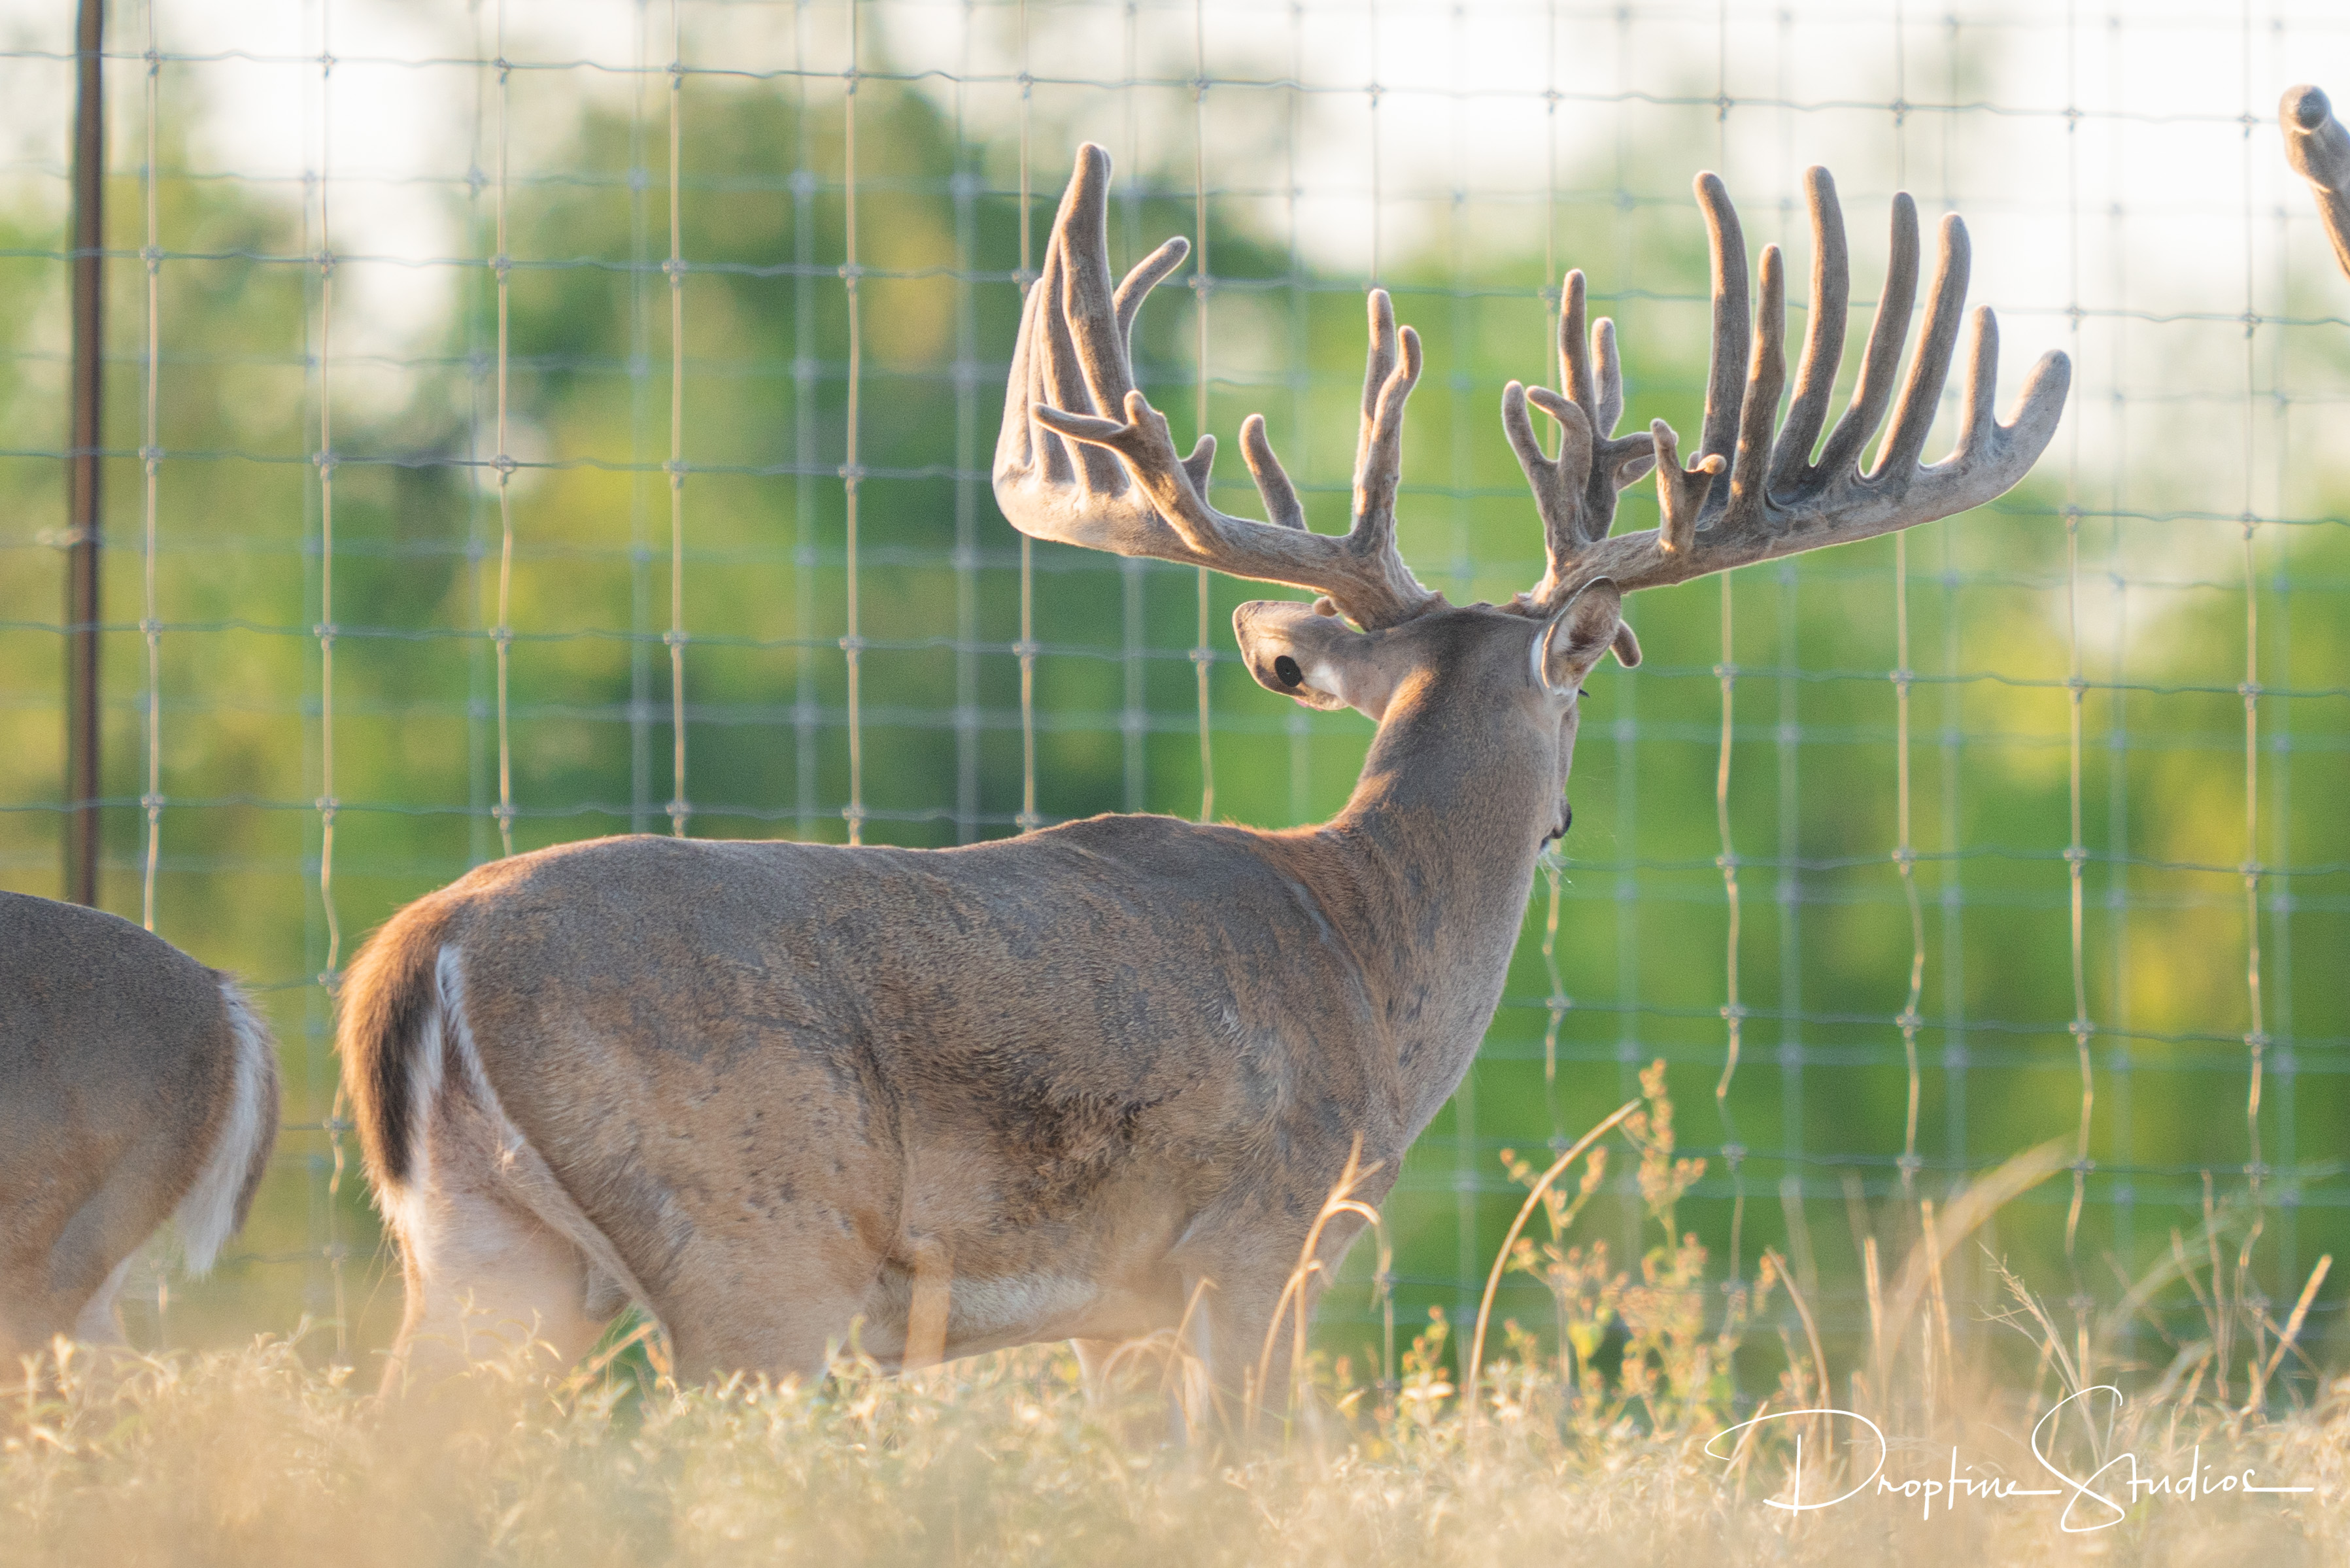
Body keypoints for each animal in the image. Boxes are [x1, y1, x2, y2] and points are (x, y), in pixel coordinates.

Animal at [338, 144, 2066, 1425]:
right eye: (1592, 678)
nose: (1567, 813)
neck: (1369, 955)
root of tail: (420, 956)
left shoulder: (1118, 1308)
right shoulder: (1259, 1241)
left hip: (481, 1254)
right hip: (753, 1250)